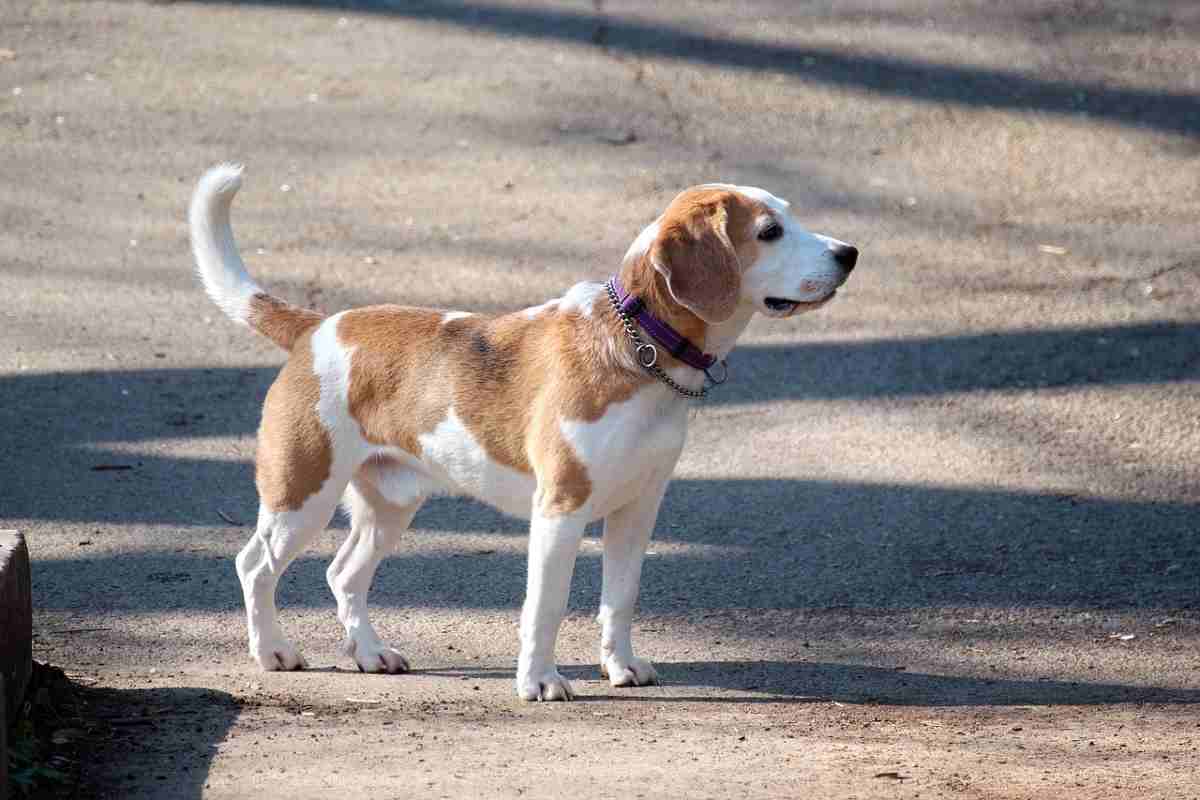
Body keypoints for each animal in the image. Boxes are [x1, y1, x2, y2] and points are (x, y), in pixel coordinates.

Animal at [187, 164, 854, 700]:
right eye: (769, 231)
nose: (849, 253)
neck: (641, 352)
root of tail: (316, 326)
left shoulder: (637, 510)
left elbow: (620, 597)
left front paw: (622, 667)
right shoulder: (560, 511)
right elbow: (546, 606)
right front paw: (538, 682)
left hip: (391, 506)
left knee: (342, 575)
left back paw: (370, 655)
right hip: (302, 497)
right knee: (254, 565)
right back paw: (272, 650)